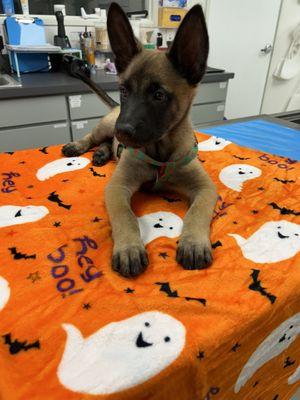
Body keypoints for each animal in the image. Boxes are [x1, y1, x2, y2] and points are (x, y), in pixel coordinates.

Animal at [62, 2, 218, 278]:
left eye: (158, 95)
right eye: (124, 90)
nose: (122, 131)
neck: (160, 154)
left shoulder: (205, 188)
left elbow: (197, 211)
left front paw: (194, 243)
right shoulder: (117, 187)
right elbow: (125, 215)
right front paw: (129, 247)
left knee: (106, 144)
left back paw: (102, 154)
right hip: (105, 126)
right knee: (93, 136)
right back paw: (79, 146)